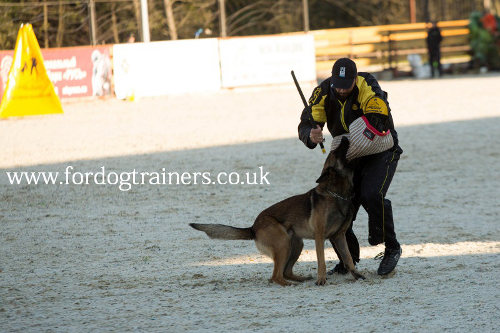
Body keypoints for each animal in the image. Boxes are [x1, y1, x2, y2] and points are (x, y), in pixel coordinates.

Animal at [189, 137, 366, 286]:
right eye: (336, 152)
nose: (345, 137)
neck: (336, 194)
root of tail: (253, 227)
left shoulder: (339, 236)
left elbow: (348, 258)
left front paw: (356, 275)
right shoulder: (320, 237)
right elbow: (321, 261)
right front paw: (321, 280)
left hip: (295, 244)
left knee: (286, 271)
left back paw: (300, 279)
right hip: (283, 243)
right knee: (276, 276)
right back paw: (290, 284)